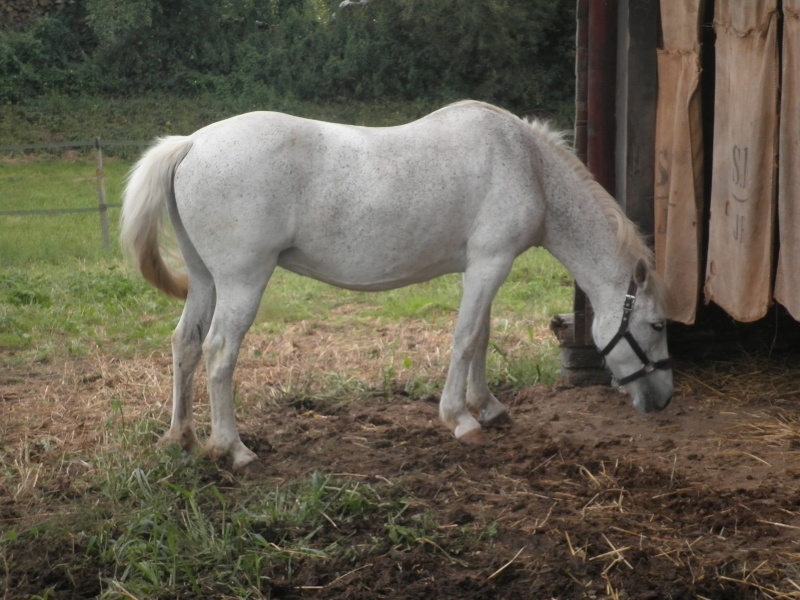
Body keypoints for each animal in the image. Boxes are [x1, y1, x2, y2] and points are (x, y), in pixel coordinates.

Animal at [122, 101, 672, 472]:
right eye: (658, 325)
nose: (663, 401)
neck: (526, 165)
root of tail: (192, 143)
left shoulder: (481, 267)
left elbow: (481, 337)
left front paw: (489, 407)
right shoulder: (491, 263)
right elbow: (465, 339)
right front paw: (461, 419)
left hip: (205, 280)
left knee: (186, 343)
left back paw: (182, 437)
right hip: (242, 281)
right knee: (219, 351)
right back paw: (233, 449)